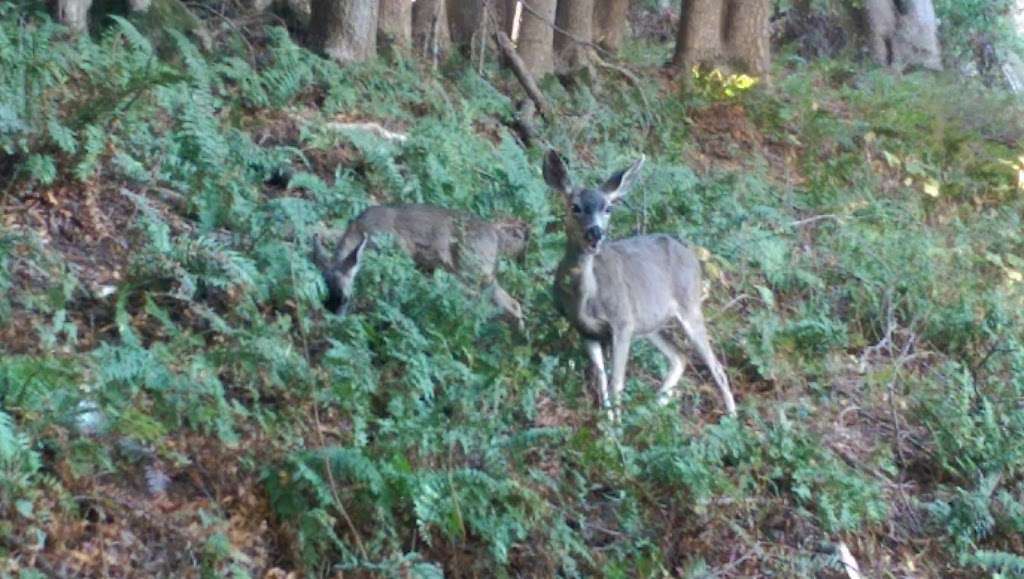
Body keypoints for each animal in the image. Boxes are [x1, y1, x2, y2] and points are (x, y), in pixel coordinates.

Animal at [309, 203, 528, 329]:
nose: (334, 320)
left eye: (345, 298)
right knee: (512, 303)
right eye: (323, 299)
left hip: (472, 268)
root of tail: (497, 235)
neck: (362, 230)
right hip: (480, 272)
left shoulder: (401, 252)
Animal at [544, 148, 737, 420]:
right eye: (575, 207)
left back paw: (732, 417)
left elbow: (617, 381)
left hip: (689, 305)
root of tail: (690, 255)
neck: (586, 299)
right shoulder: (586, 330)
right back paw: (655, 406)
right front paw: (606, 420)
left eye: (608, 208)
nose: (595, 234)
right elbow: (601, 379)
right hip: (650, 323)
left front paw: (615, 426)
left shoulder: (622, 321)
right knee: (679, 356)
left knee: (715, 365)